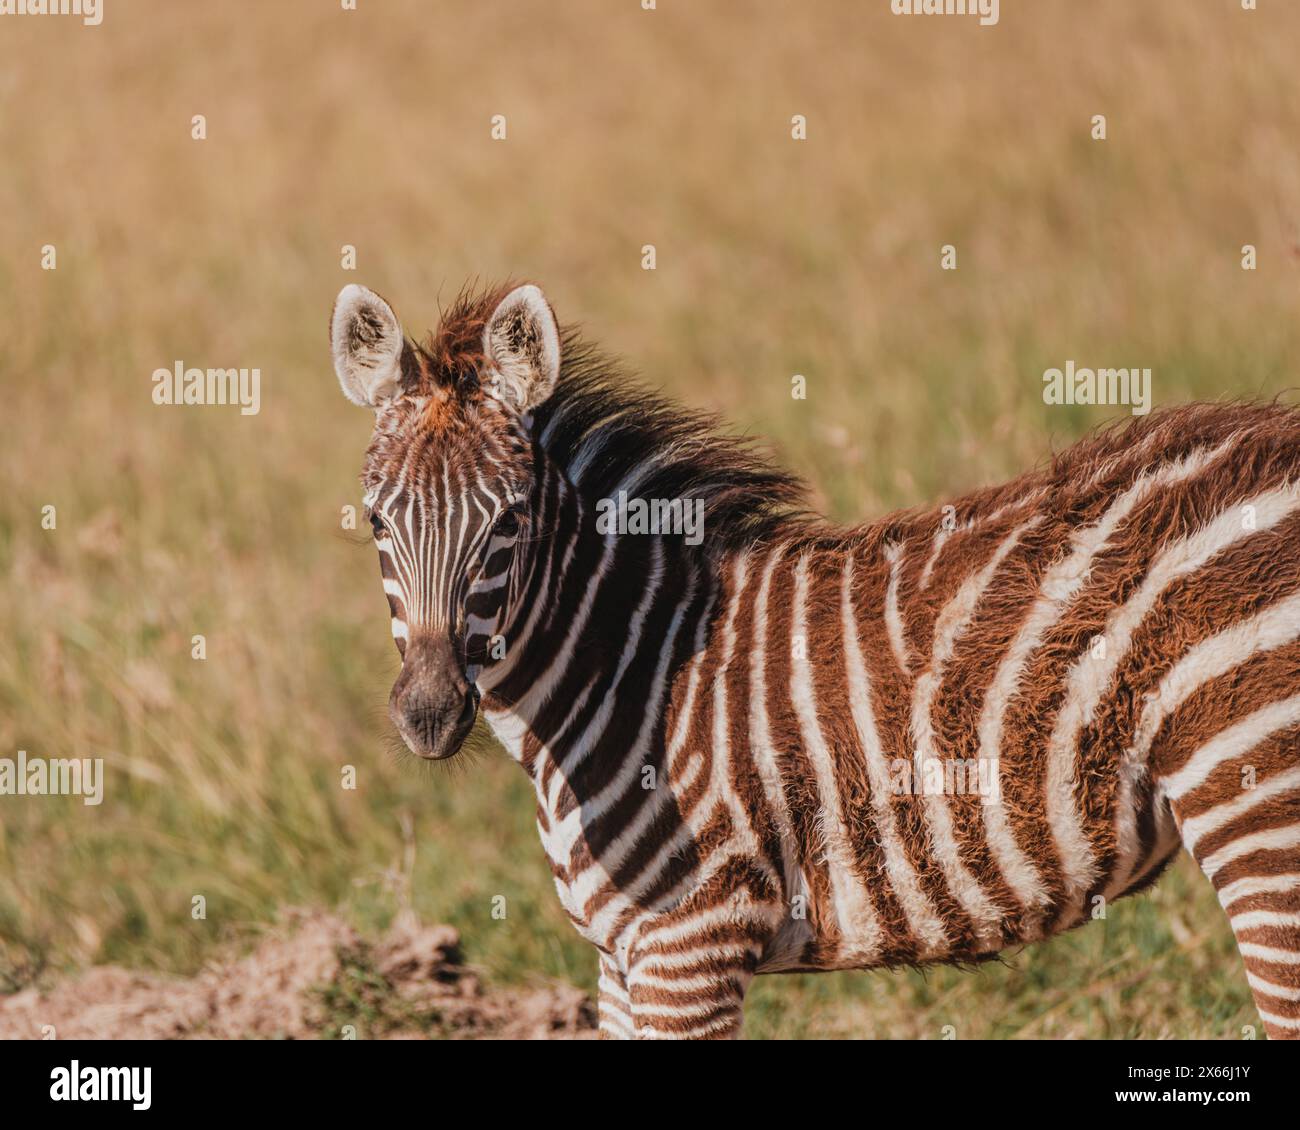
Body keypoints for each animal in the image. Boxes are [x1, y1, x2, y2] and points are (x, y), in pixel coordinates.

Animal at [330, 282, 1300, 1040]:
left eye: (510, 520)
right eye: (375, 519)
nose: (428, 714)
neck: (631, 670)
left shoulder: (693, 942)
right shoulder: (620, 958)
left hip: (1258, 804)